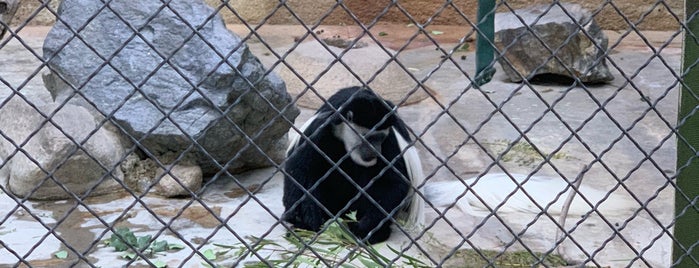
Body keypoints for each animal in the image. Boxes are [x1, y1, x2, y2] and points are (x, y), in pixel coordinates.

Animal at [282, 87, 424, 244]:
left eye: (380, 137)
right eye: (368, 138)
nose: (376, 151)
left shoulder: (390, 141)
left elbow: (393, 183)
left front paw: (365, 227)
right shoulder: (318, 130)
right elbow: (300, 171)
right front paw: (307, 219)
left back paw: (376, 233)